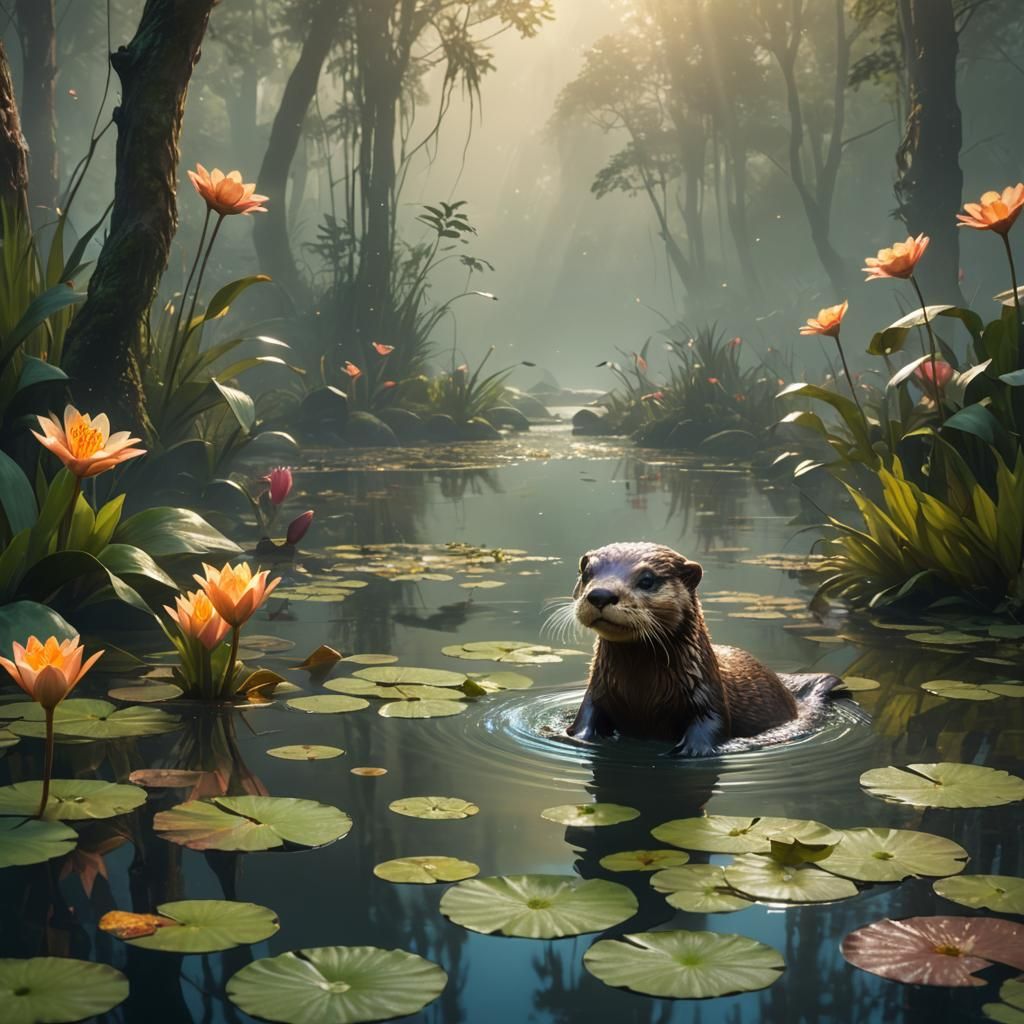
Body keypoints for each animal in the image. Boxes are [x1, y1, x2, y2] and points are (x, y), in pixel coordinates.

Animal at [567, 541, 802, 756]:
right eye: (587, 574)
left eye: (647, 580)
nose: (600, 594)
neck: (640, 694)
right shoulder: (595, 694)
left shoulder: (709, 698)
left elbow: (710, 727)